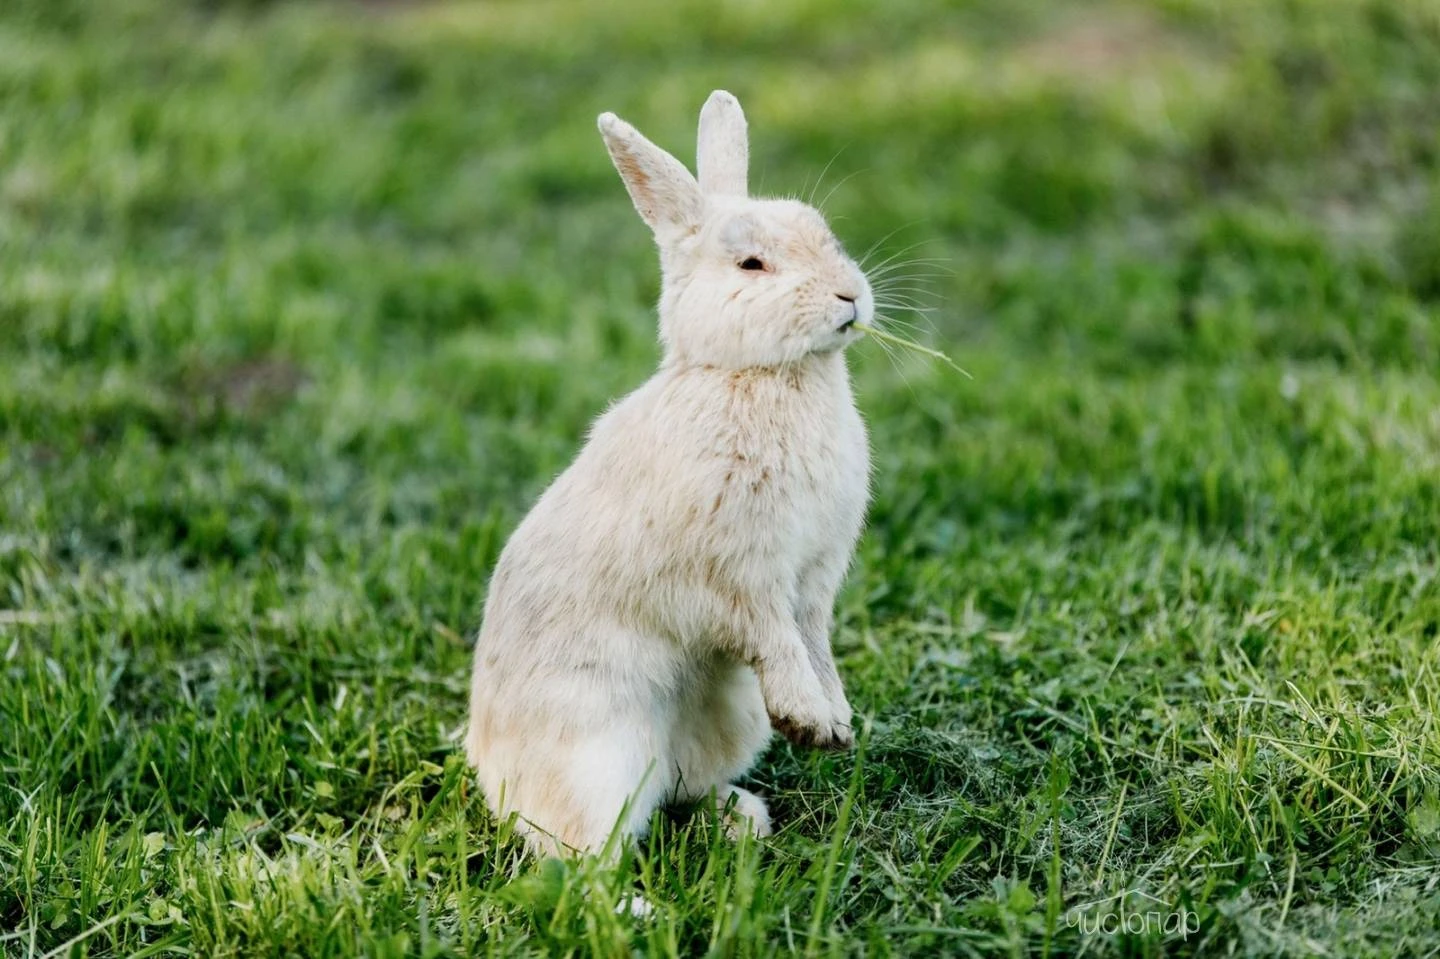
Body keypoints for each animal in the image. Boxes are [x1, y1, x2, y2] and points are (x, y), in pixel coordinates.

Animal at [469, 87, 875, 852]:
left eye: (826, 234)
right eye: (752, 265)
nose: (850, 298)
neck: (753, 374)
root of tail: (490, 770)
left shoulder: (813, 577)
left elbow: (814, 638)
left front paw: (836, 723)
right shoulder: (742, 575)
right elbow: (778, 639)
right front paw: (812, 720)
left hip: (729, 718)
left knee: (678, 793)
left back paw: (742, 819)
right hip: (600, 755)